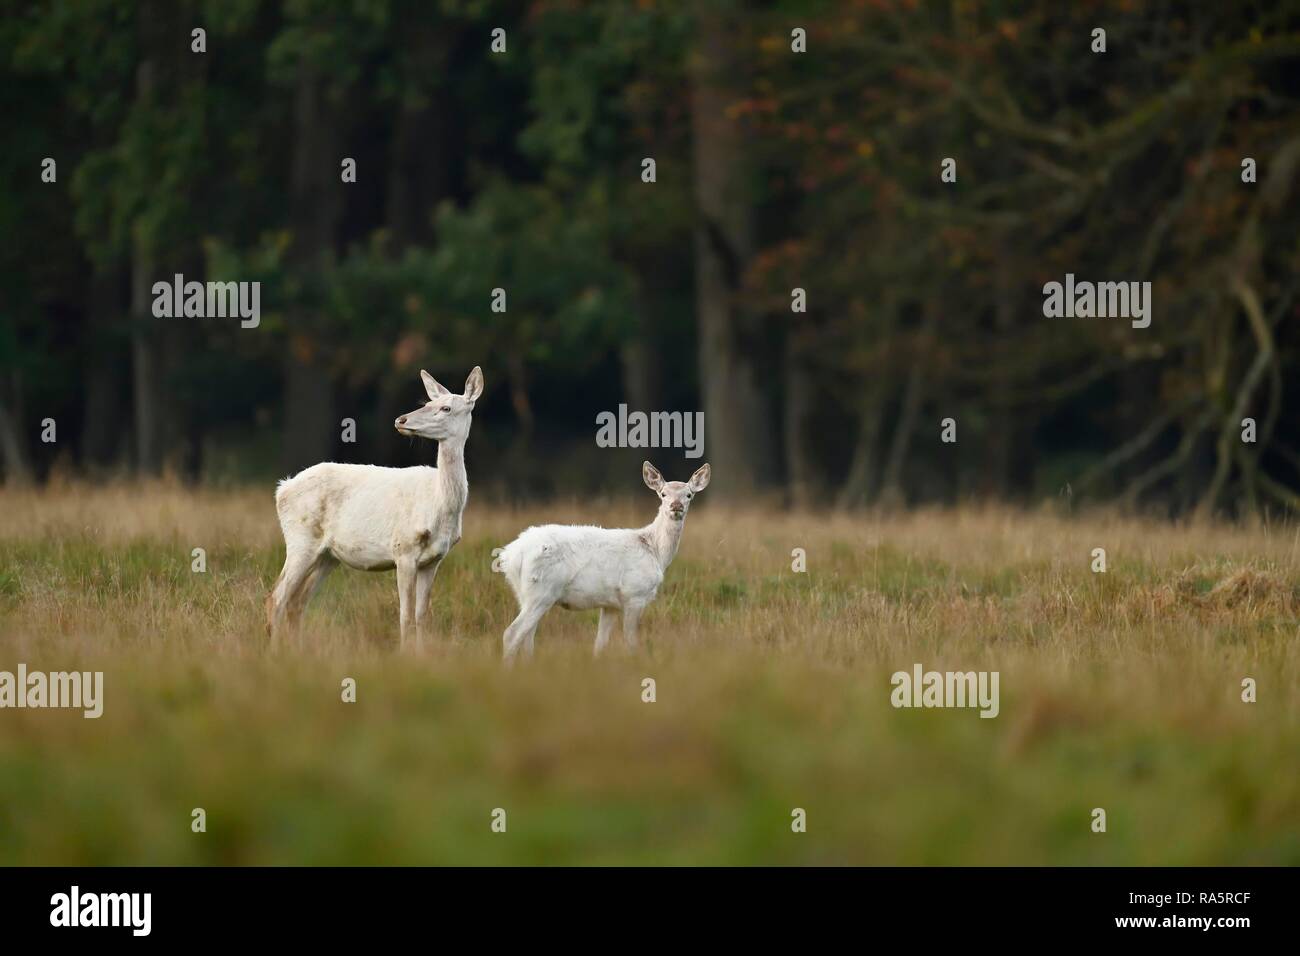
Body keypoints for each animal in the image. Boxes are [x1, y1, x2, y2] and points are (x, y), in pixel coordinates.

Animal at [266, 366, 486, 650]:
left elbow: (422, 617)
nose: (401, 420)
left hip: (328, 555)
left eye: (446, 408)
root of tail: (281, 489)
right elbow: (406, 617)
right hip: (300, 538)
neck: (439, 505)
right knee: (277, 598)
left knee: (297, 602)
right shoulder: (403, 548)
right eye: (427, 403)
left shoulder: (435, 559)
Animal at [491, 463, 712, 658]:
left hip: (524, 593)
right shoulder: (634, 594)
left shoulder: (610, 604)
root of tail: (510, 555)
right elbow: (631, 642)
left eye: (689, 494)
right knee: (512, 634)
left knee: (527, 638)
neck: (655, 551)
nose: (676, 506)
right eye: (663, 494)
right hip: (542, 591)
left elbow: (600, 644)